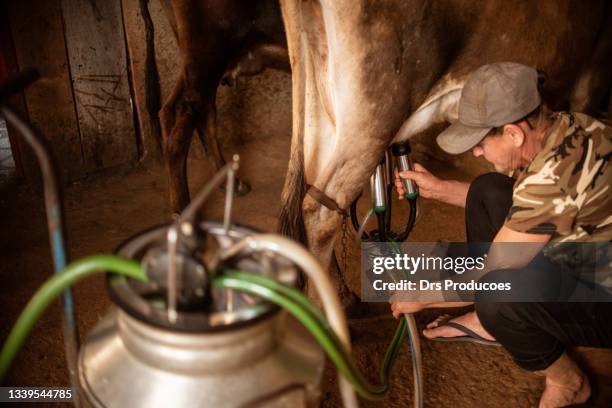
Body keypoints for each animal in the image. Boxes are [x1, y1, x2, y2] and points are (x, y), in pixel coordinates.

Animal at [160, 0, 290, 210]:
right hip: (206, 53)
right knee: (183, 125)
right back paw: (181, 209)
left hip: (196, 60)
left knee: (182, 111)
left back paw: (232, 184)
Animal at [276, 0, 612, 306]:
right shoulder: (592, 74)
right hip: (377, 103)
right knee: (320, 213)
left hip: (321, 99)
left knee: (309, 190)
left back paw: (342, 298)